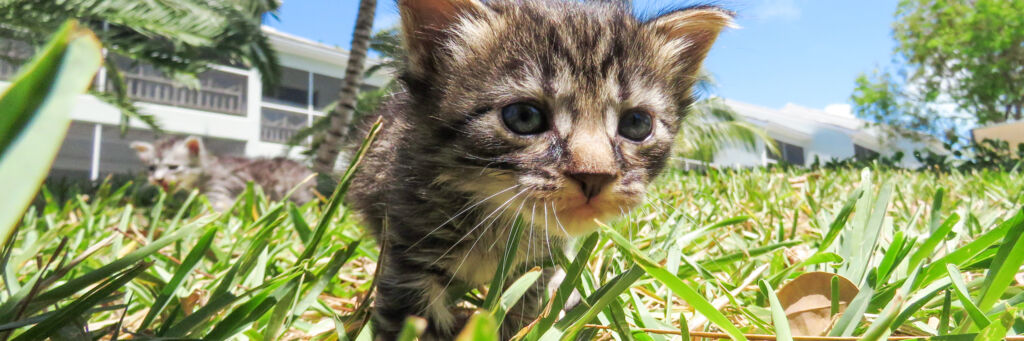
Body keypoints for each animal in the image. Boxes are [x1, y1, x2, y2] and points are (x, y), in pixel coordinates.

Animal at [348, 0, 733, 337]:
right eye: (524, 116)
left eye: (636, 124)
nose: (594, 176)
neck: (495, 220)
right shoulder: (407, 255)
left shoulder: (538, 264)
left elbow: (525, 306)